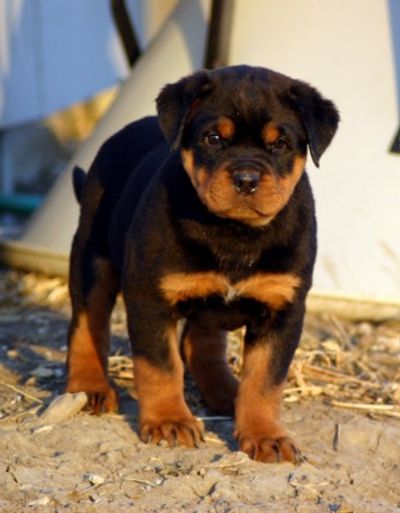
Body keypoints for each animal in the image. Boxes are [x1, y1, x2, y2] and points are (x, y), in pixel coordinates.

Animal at [65, 64, 338, 460]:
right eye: (214, 138)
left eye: (280, 144)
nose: (246, 178)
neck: (235, 233)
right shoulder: (150, 298)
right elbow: (161, 366)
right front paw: (169, 421)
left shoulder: (283, 309)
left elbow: (264, 380)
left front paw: (265, 434)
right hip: (92, 258)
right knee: (87, 322)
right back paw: (90, 387)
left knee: (203, 342)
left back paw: (226, 391)